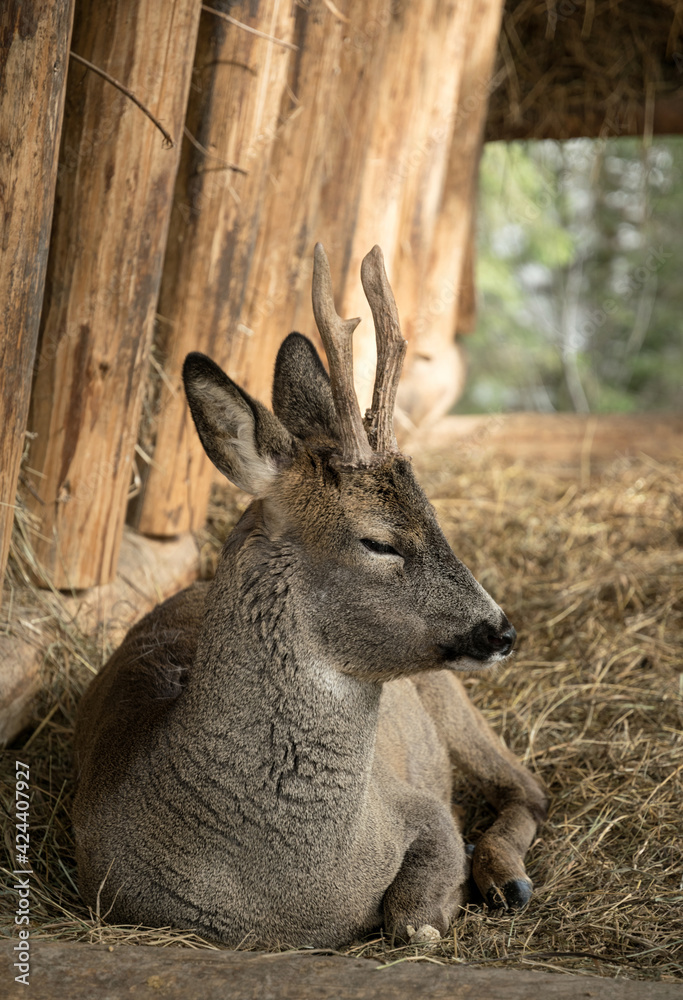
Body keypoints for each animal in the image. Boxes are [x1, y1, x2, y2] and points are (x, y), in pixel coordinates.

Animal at [73, 244, 547, 949]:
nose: (501, 630)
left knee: (529, 787)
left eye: (434, 514)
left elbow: (412, 924)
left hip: (448, 696)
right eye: (378, 542)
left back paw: (505, 878)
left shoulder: (425, 809)